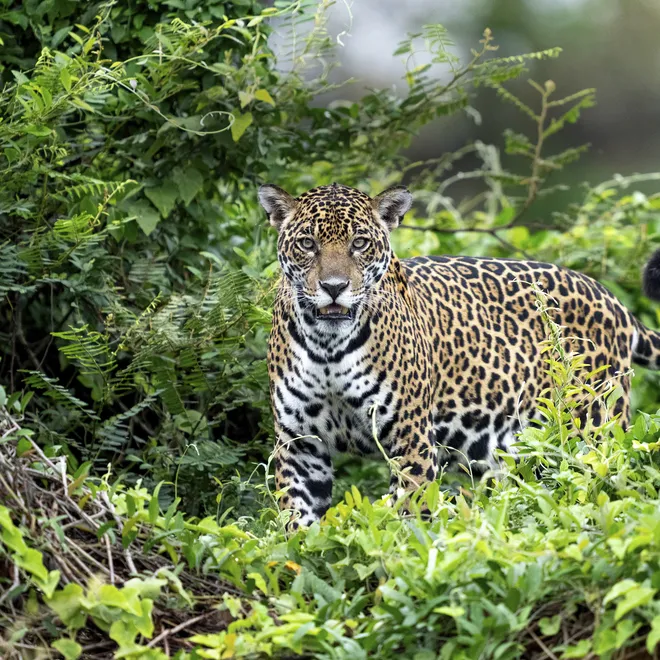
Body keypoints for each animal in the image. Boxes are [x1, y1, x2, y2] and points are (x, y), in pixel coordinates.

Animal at [259, 181, 660, 529]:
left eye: (359, 243)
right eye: (307, 243)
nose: (334, 287)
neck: (327, 345)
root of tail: (612, 300)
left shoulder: (410, 438)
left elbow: (410, 515)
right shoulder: (299, 445)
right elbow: (297, 524)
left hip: (593, 430)